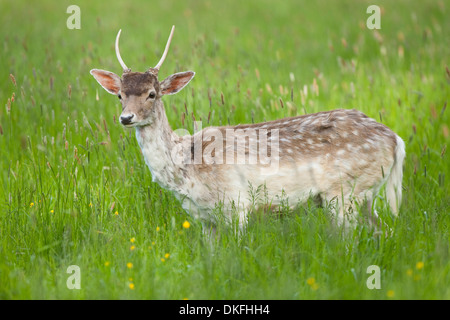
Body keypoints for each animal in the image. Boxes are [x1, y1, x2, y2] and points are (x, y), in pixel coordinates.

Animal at [89, 25, 406, 235]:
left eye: (152, 94)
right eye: (120, 95)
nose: (126, 117)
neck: (187, 166)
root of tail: (395, 140)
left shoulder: (236, 205)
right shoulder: (204, 216)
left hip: (344, 192)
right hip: (363, 195)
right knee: (382, 230)